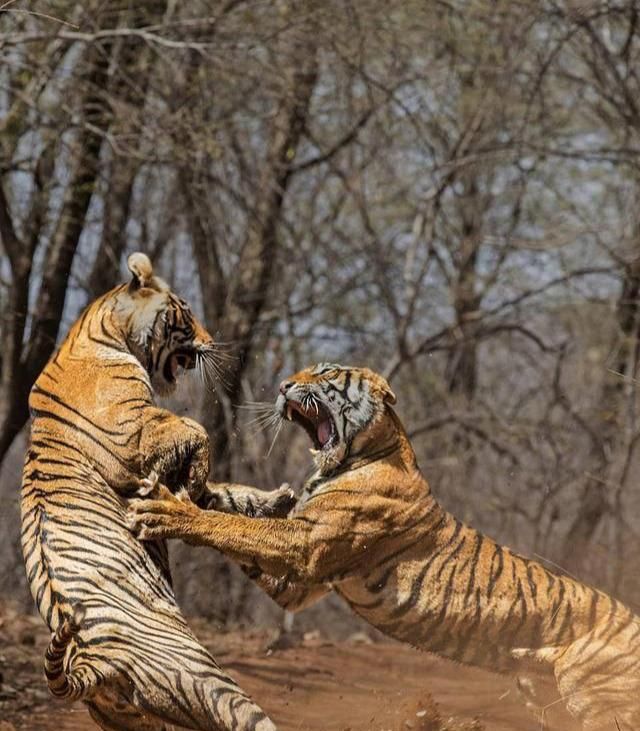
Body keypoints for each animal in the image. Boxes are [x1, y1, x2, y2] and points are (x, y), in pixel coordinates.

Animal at [21, 252, 284, 731]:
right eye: (186, 311)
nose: (211, 341)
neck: (100, 329)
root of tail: (93, 664)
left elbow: (218, 497)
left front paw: (277, 499)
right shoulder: (136, 434)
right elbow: (197, 432)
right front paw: (187, 484)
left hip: (138, 717)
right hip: (208, 677)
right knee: (250, 718)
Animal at [129, 362, 640, 731]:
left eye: (326, 373)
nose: (282, 384)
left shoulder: (308, 546)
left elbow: (231, 526)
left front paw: (169, 510)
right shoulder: (300, 585)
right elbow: (237, 515)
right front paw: (240, 492)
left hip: (592, 698)